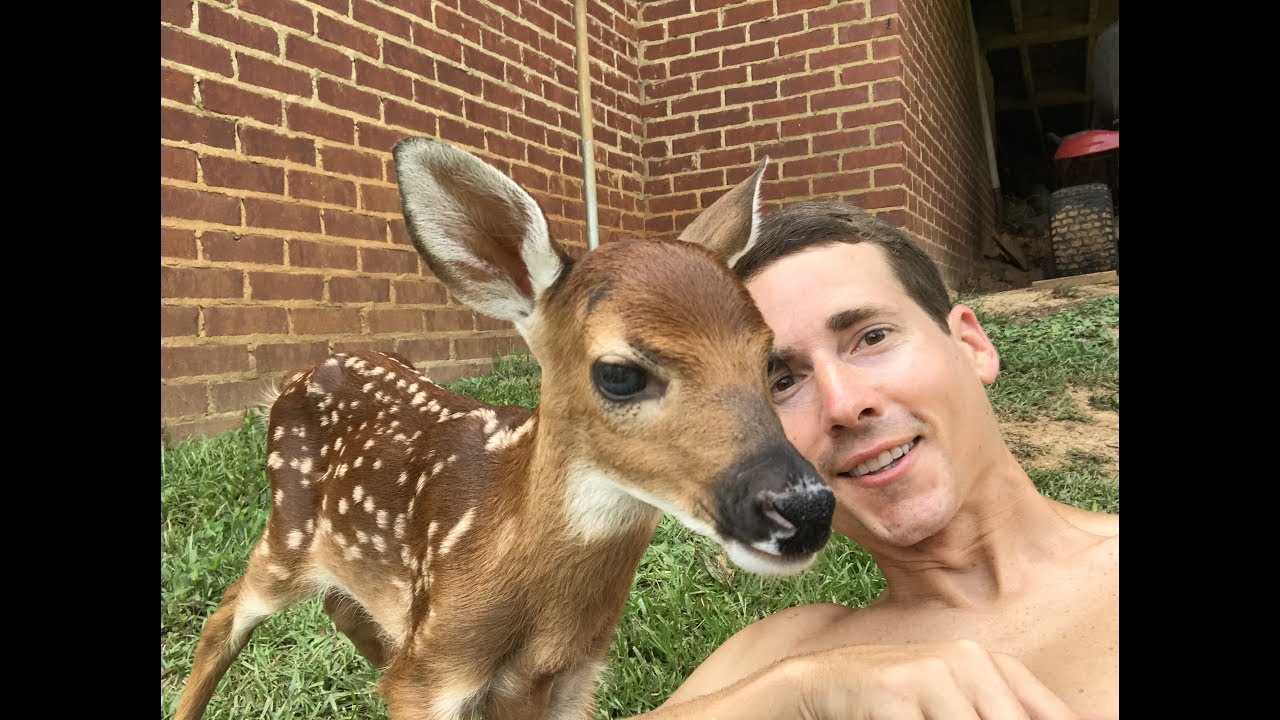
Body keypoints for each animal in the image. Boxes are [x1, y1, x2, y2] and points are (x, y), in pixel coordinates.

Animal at [173, 137, 835, 720]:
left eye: (770, 365)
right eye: (619, 374)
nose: (805, 508)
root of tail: (300, 374)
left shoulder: (570, 678)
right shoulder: (430, 677)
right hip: (287, 531)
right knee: (223, 616)